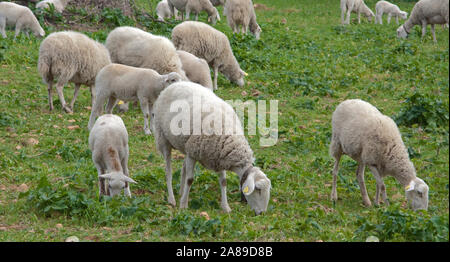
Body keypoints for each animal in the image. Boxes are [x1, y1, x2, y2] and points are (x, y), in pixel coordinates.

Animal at [153, 82, 270, 215]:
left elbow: (223, 182)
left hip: (185, 144)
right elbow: (190, 179)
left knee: (183, 168)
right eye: (258, 190)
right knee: (168, 171)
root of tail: (176, 83)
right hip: (163, 138)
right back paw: (172, 199)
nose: (262, 213)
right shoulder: (194, 153)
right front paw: (183, 205)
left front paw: (226, 207)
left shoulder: (219, 157)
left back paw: (181, 192)